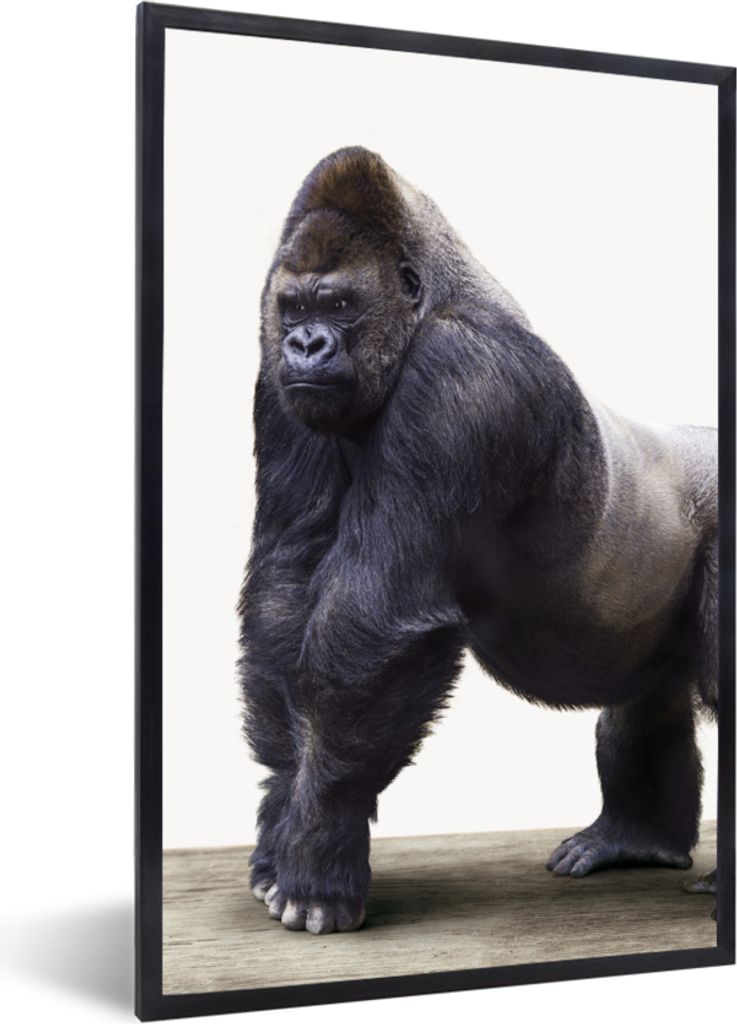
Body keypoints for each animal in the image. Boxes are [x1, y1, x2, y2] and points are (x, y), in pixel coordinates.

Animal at [236, 146, 718, 934]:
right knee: (648, 697)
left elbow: (374, 627)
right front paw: (283, 824)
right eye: (295, 308)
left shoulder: (460, 380)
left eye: (338, 305)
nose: (305, 344)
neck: (427, 302)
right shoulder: (276, 387)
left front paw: (319, 849)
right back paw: (637, 839)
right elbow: (284, 594)